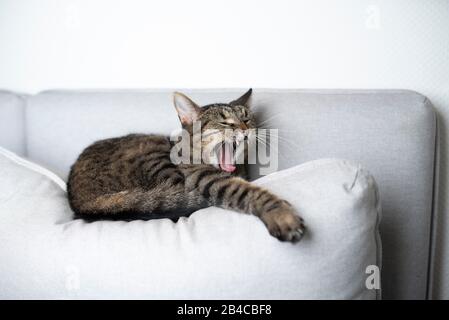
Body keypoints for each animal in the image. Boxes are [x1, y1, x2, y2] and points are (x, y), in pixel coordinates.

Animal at [66, 90, 304, 242]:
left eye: (246, 118)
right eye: (224, 122)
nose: (245, 129)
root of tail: (78, 200)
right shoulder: (206, 179)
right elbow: (247, 192)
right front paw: (281, 214)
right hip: (155, 154)